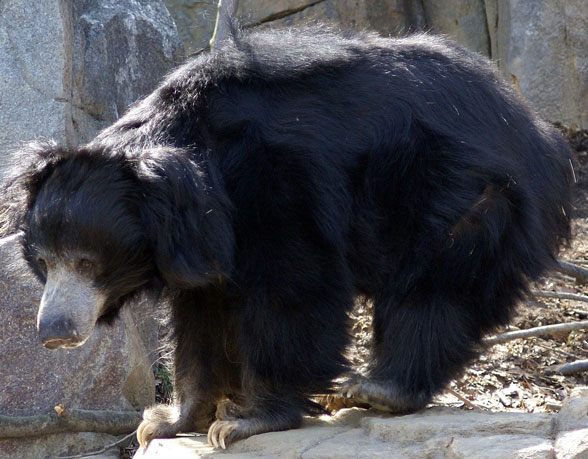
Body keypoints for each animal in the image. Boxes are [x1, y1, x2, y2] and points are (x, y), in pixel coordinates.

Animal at [0, 26, 568, 450]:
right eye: (44, 261)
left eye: (86, 261)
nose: (52, 332)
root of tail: (534, 127)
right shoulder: (201, 247)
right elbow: (201, 318)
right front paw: (166, 420)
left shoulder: (278, 190)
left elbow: (291, 291)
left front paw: (244, 420)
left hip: (457, 191)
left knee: (435, 288)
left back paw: (375, 388)